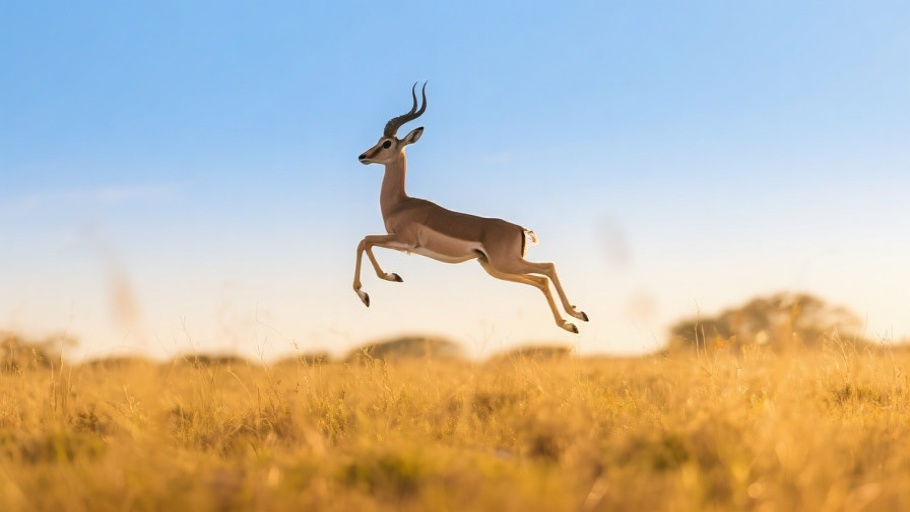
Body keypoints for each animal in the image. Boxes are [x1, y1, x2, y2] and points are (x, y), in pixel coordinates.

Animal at [353, 83, 589, 333]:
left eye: (386, 143)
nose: (363, 156)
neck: (401, 204)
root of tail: (519, 228)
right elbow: (365, 242)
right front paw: (387, 280)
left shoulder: (404, 241)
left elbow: (365, 241)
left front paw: (374, 289)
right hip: (495, 268)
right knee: (540, 281)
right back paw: (572, 321)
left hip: (506, 264)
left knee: (547, 269)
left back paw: (574, 318)